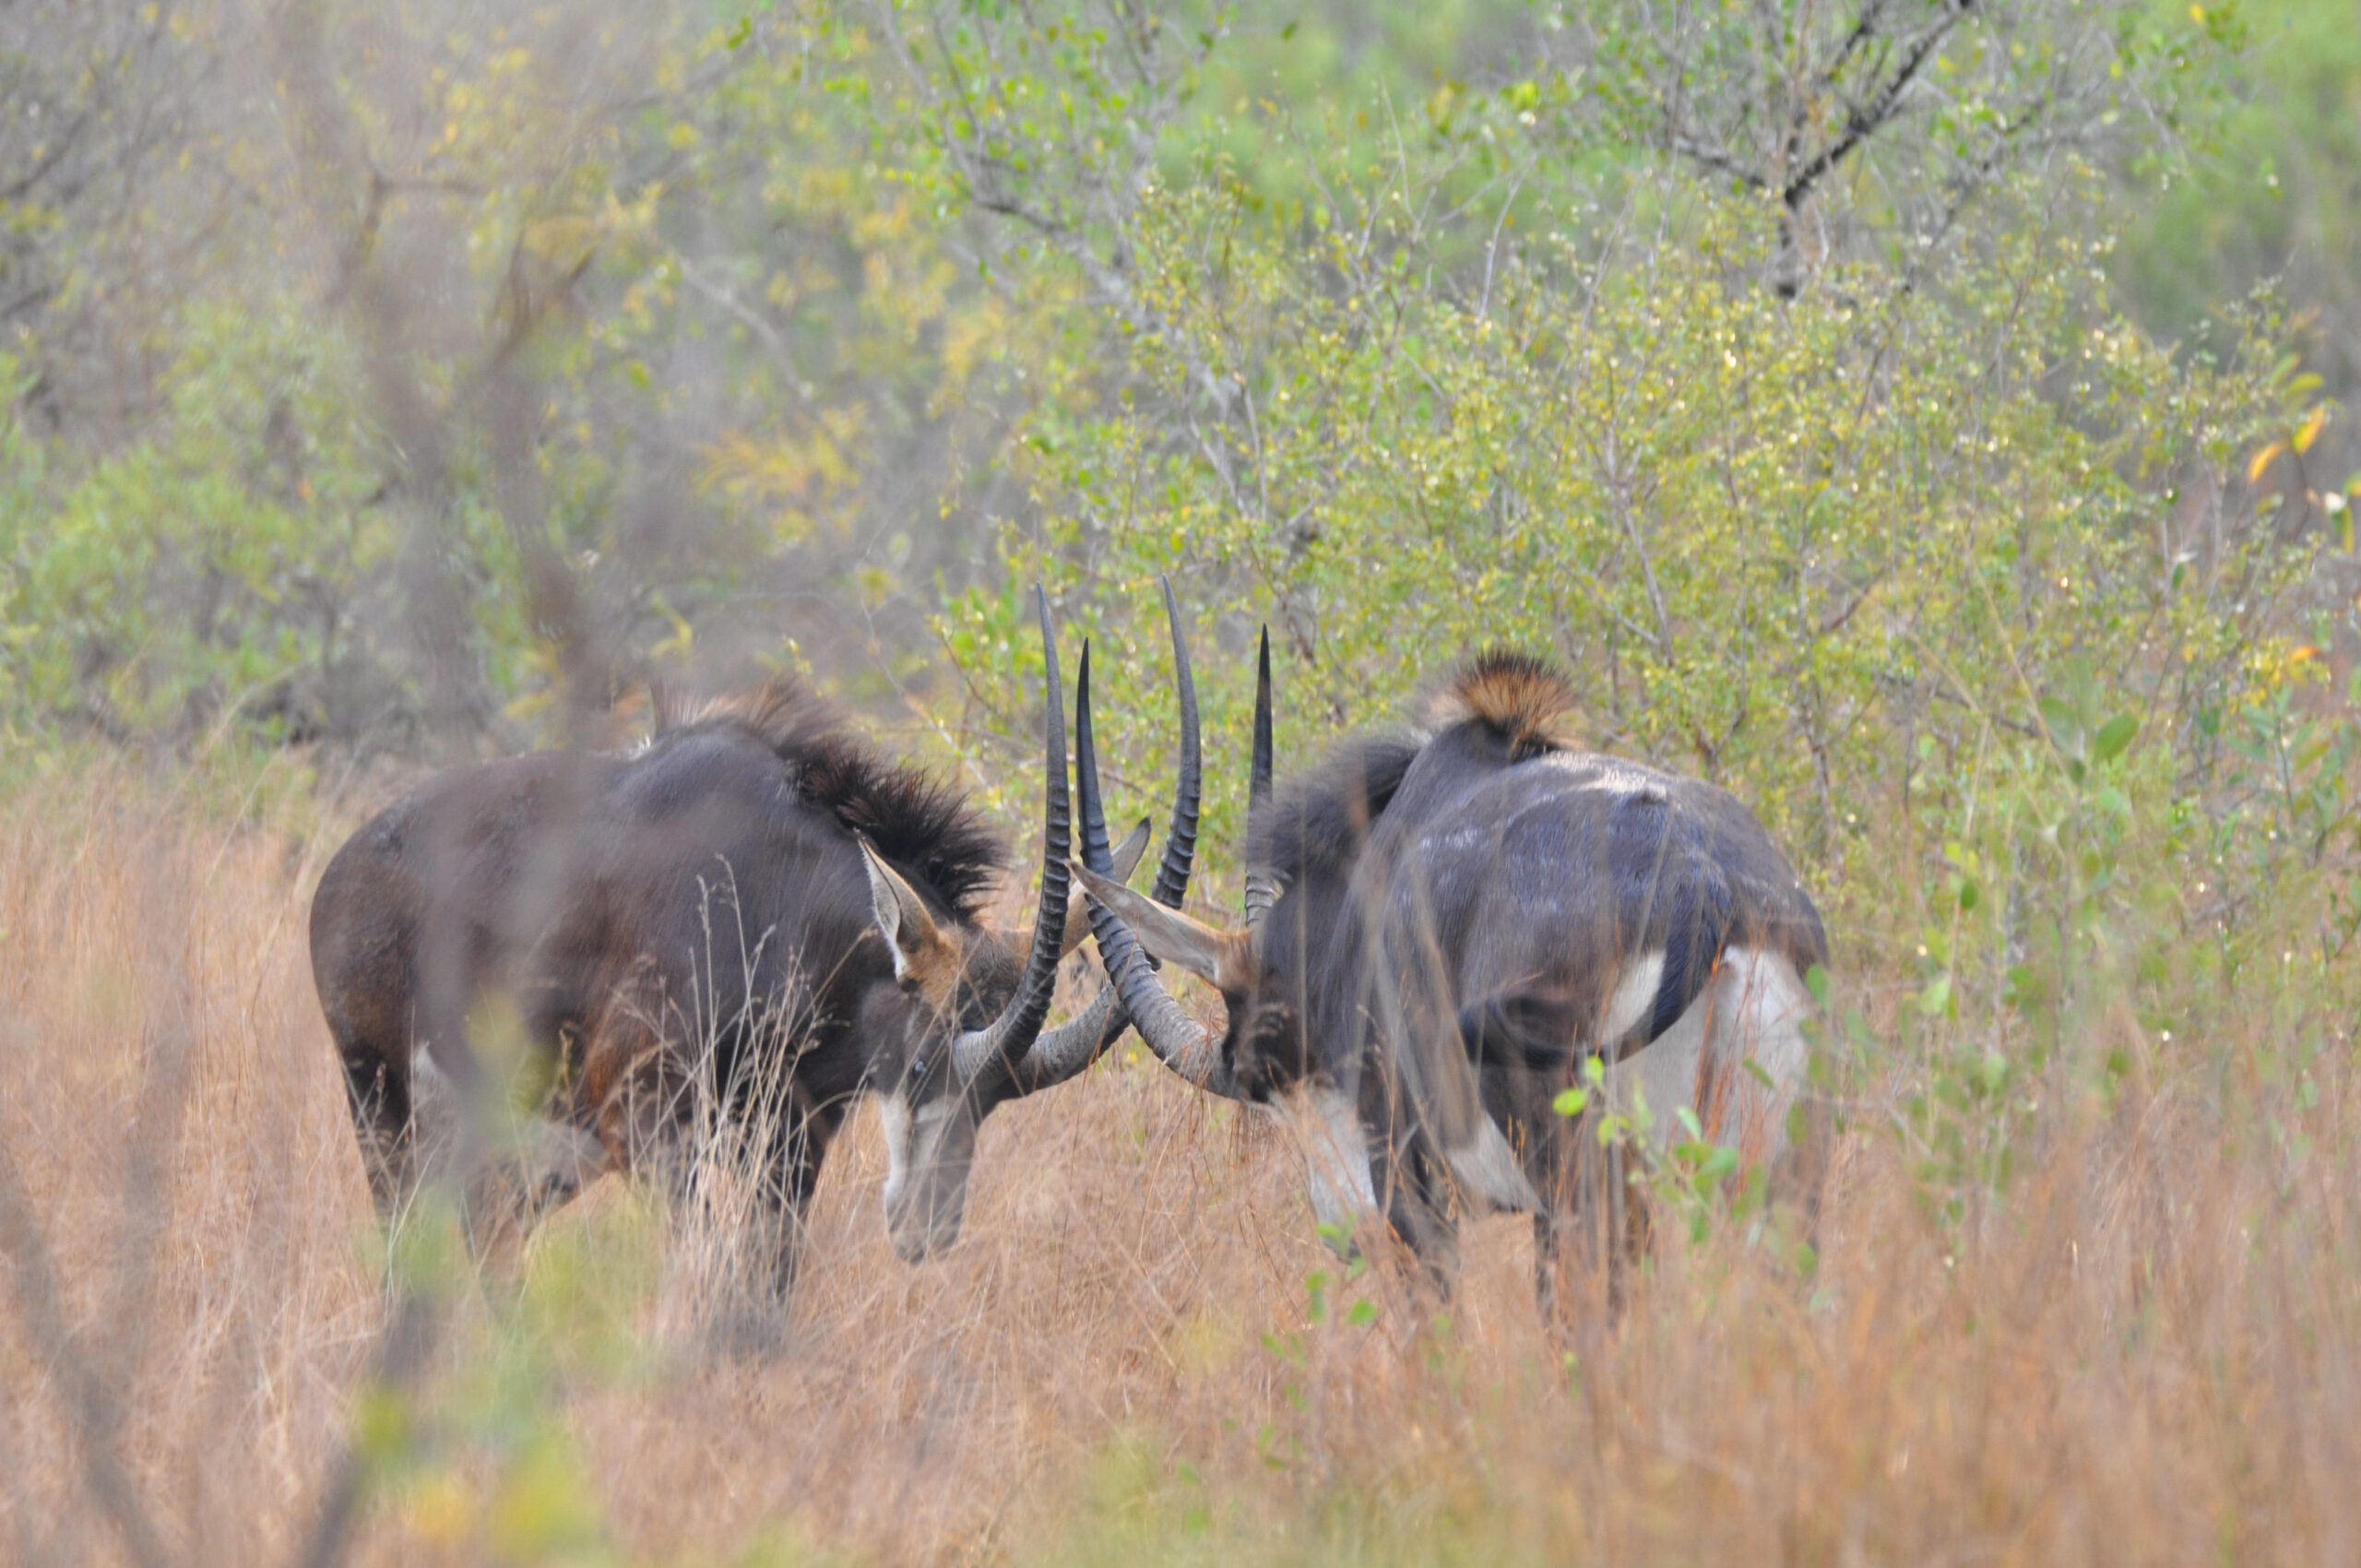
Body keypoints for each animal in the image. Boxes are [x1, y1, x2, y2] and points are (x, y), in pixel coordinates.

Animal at [308, 587, 1202, 1282]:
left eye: (1001, 1096)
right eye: (919, 1064)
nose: (926, 1230)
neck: (777, 901)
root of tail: (340, 875)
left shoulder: (790, 1138)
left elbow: (767, 1272)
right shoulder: (645, 1125)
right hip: (386, 1111)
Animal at [1073, 639, 1830, 1304]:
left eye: (1263, 1074)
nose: (1347, 1235)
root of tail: (1703, 884)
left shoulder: (1414, 1204)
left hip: (1581, 1184)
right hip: (1767, 1179)